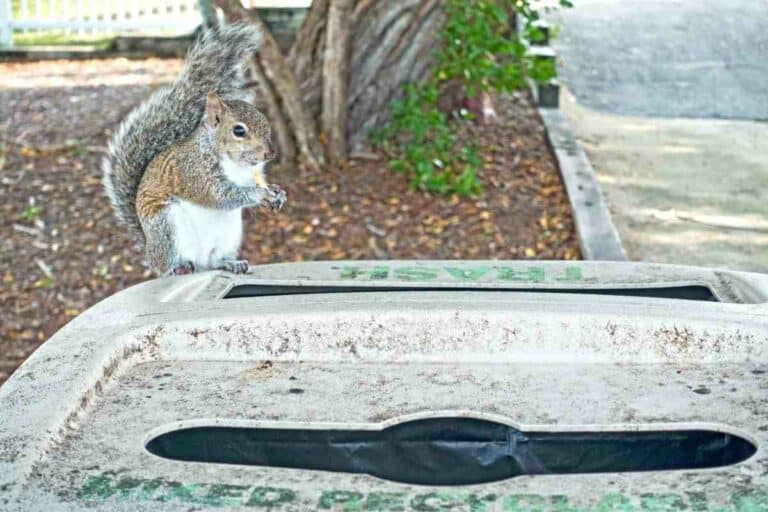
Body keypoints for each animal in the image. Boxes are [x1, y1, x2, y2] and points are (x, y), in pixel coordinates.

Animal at [102, 23, 286, 276]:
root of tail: (150, 249)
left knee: (212, 261)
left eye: (265, 121)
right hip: (166, 227)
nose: (270, 154)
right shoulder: (193, 172)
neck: (235, 163)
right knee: (170, 263)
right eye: (239, 131)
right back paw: (177, 268)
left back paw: (229, 263)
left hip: (228, 235)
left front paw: (278, 193)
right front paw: (259, 195)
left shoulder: (254, 173)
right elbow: (219, 194)